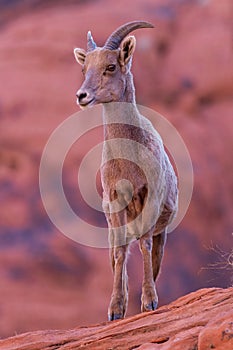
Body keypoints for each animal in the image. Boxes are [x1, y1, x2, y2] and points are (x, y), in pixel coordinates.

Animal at [73, 19, 177, 320]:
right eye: (84, 69)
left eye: (111, 66)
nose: (82, 96)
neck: (129, 163)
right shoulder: (116, 203)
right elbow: (120, 254)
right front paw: (115, 310)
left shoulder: (149, 202)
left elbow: (144, 246)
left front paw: (149, 303)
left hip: (162, 234)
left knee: (152, 259)